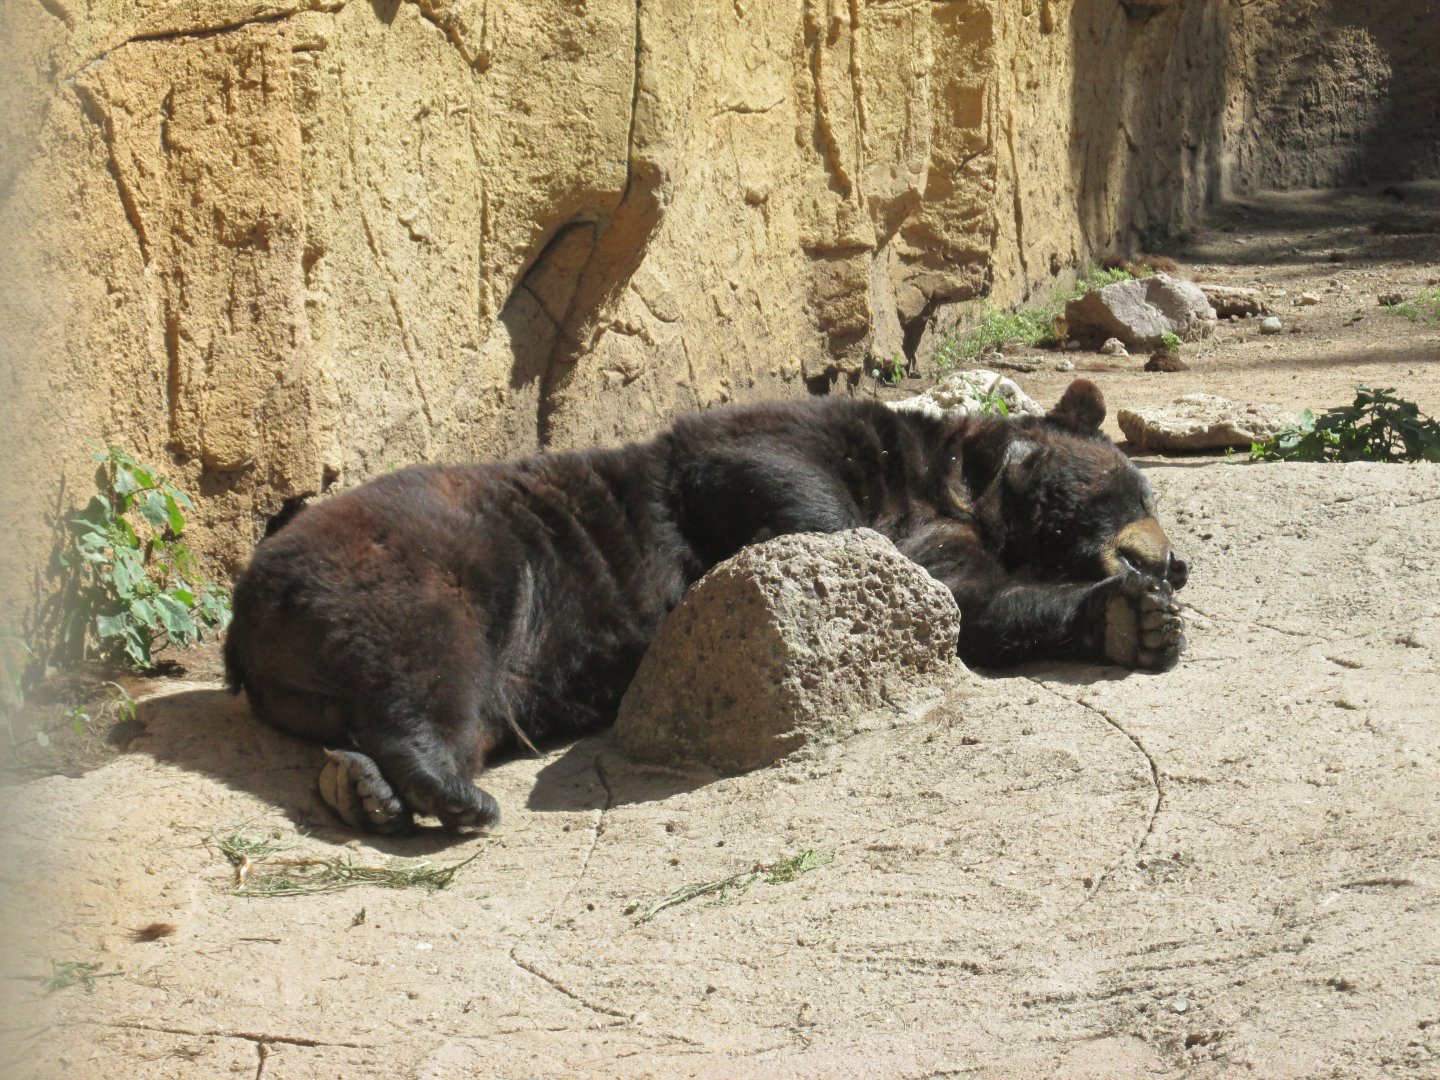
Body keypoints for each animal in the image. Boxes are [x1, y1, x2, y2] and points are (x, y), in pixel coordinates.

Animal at [224, 379, 1187, 834]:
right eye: (1136, 487)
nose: (1175, 563)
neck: (955, 489)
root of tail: (249, 610)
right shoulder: (812, 439)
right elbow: (759, 464)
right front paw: (828, 569)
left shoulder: (955, 543)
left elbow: (975, 606)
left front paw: (1131, 620)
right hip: (433, 550)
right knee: (430, 656)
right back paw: (444, 790)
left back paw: (361, 785)